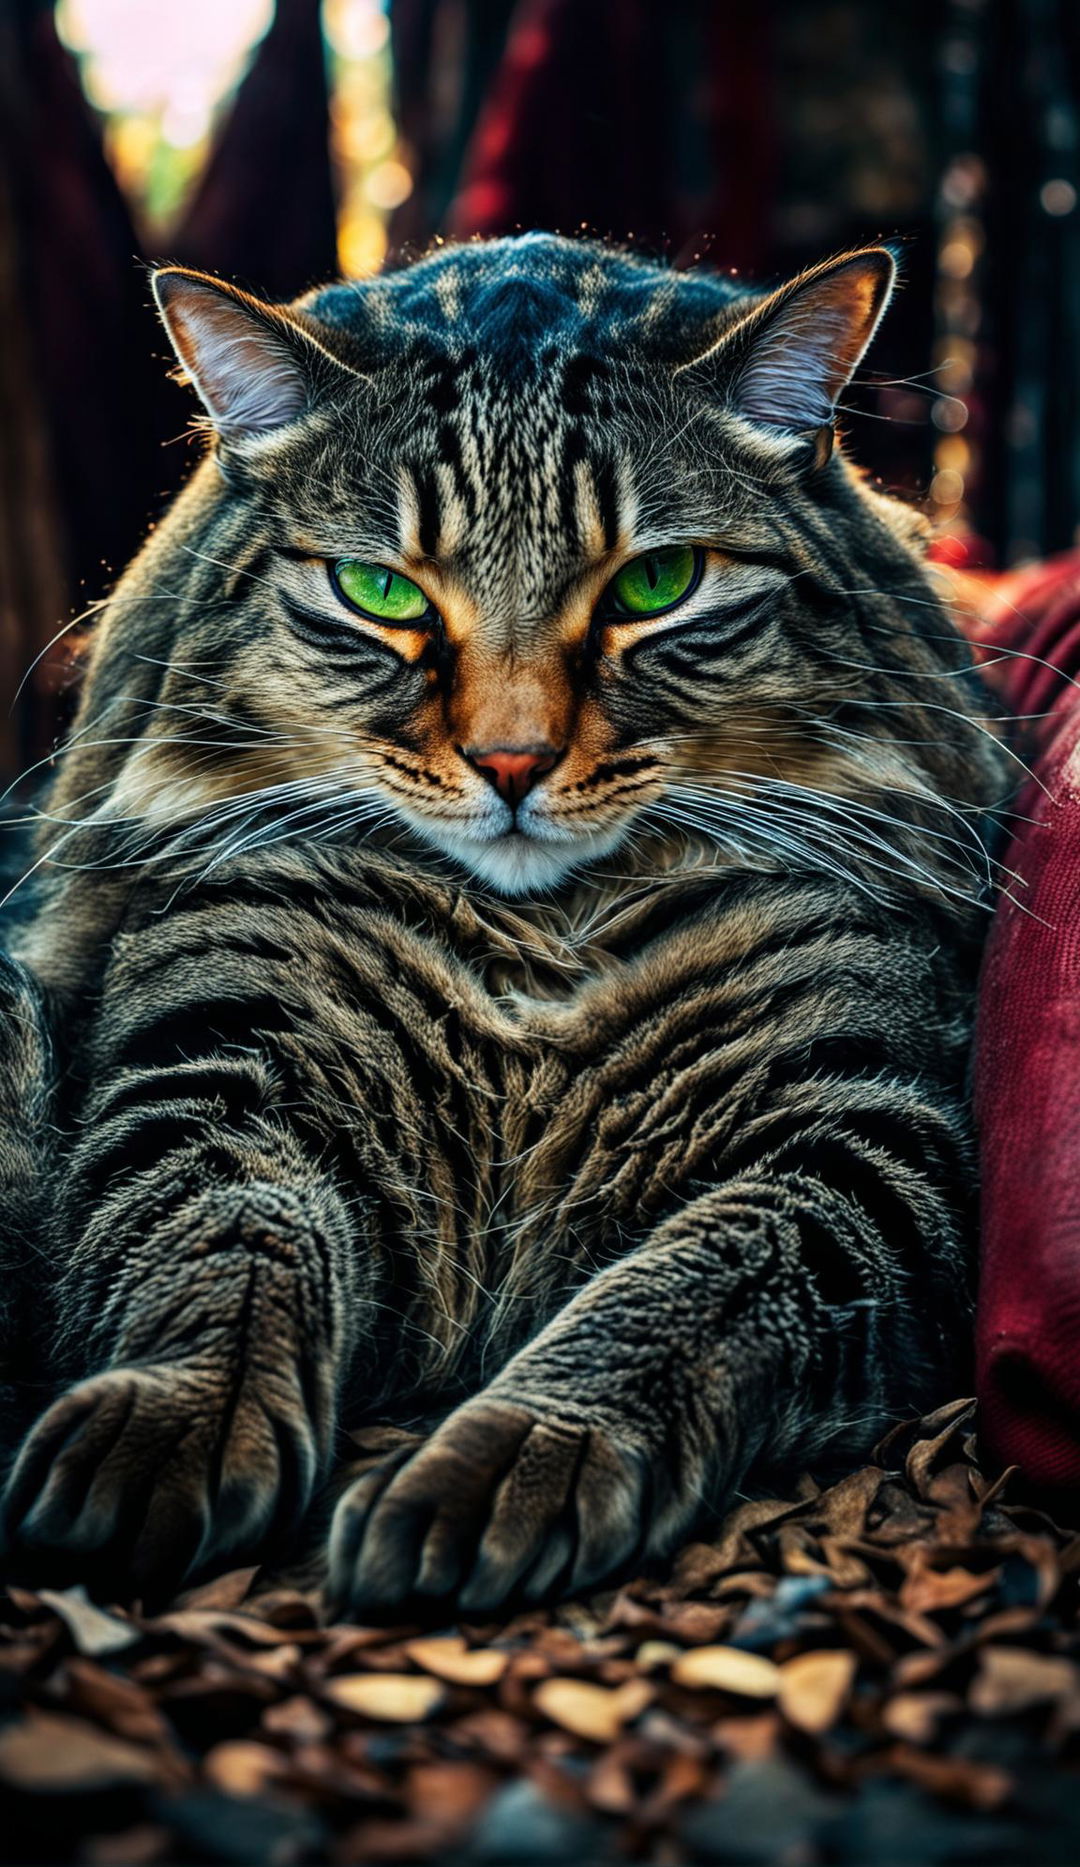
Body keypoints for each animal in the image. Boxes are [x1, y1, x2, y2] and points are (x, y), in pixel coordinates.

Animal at [0, 229, 1001, 1605]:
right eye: (379, 591)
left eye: (657, 582)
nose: (513, 760)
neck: (529, 952)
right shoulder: (219, 1072)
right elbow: (221, 1252)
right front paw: (165, 1421)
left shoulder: (857, 1136)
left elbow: (674, 1295)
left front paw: (511, 1459)